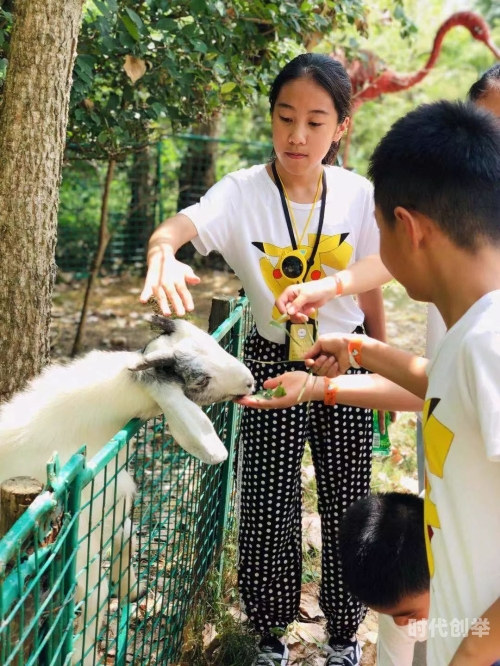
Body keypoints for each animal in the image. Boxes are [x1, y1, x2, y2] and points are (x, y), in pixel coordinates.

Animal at [0, 316, 254, 660]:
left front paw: (133, 589)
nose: (250, 383)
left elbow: (128, 533)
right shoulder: (73, 535)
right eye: (200, 380)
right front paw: (82, 654)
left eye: (213, 344)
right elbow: (96, 595)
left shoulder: (109, 503)